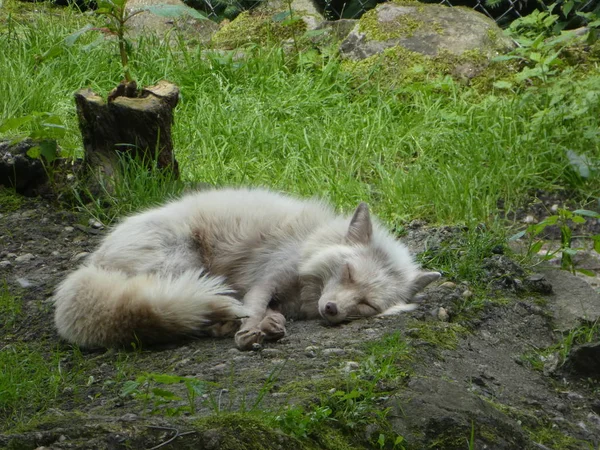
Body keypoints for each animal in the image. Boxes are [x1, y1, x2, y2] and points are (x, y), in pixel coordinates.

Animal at [54, 188, 440, 350]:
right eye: (347, 273)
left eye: (367, 305)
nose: (330, 309)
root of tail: (93, 263)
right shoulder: (267, 277)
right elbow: (253, 306)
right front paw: (251, 329)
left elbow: (263, 311)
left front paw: (266, 325)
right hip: (185, 265)